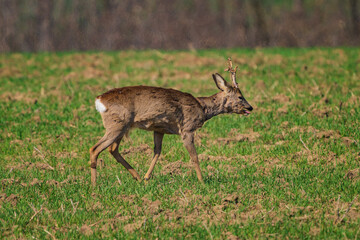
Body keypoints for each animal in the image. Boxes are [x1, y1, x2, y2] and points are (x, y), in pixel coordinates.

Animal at [90, 57, 253, 184]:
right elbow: (194, 156)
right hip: (116, 124)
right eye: (240, 96)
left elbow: (157, 152)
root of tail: (99, 100)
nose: (250, 107)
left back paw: (137, 177)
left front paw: (147, 177)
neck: (203, 108)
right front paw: (202, 181)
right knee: (95, 149)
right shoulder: (187, 128)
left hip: (123, 126)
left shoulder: (159, 129)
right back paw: (94, 185)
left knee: (112, 149)